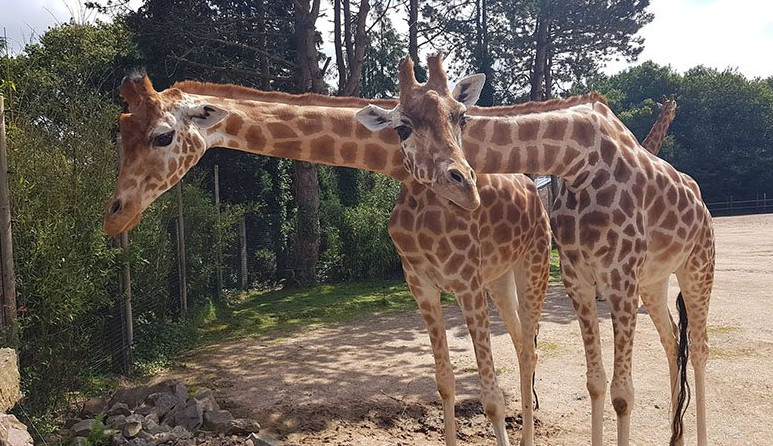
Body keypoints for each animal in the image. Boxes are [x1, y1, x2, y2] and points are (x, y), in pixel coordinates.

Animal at [103, 71, 551, 446]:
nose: (115, 215)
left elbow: (490, 396)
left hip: (534, 263)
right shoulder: (422, 284)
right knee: (520, 343)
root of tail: (531, 187)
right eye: (121, 131)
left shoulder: (466, 282)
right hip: (499, 276)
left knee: (528, 349)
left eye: (163, 136)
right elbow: (445, 383)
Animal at [358, 57, 714, 446]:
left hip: (697, 266)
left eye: (461, 117)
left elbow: (622, 394)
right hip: (652, 281)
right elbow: (594, 381)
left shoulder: (618, 276)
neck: (577, 159)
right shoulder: (577, 277)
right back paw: (676, 436)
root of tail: (700, 200)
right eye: (402, 128)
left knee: (699, 348)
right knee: (672, 339)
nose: (464, 185)